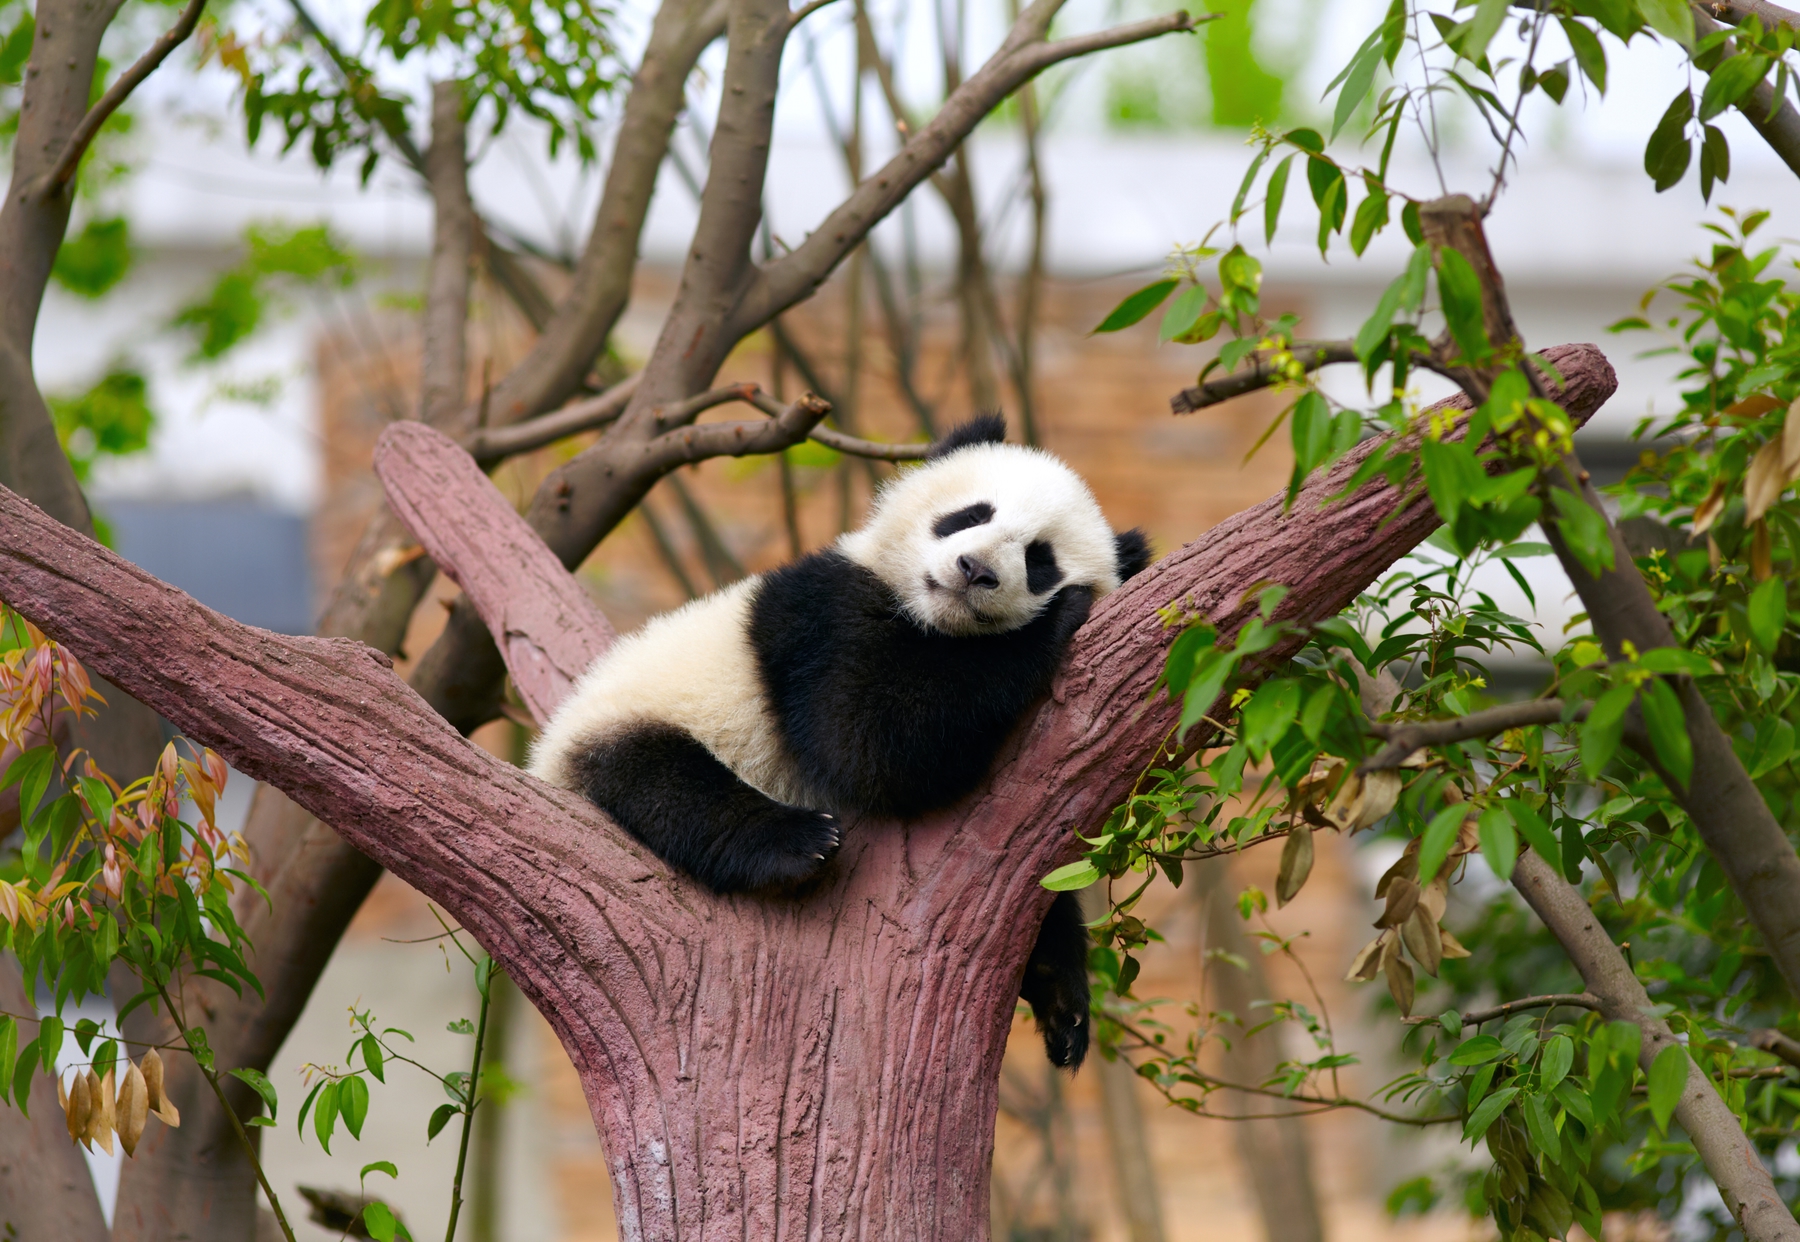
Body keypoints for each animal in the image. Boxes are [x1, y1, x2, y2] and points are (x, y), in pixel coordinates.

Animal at [529, 415, 1151, 1067]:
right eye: (970, 515)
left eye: (1039, 560)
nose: (974, 569)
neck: (933, 620)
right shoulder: (822, 615)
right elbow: (868, 742)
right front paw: (1058, 619)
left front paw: (1062, 997)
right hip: (629, 720)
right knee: (664, 782)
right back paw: (796, 842)